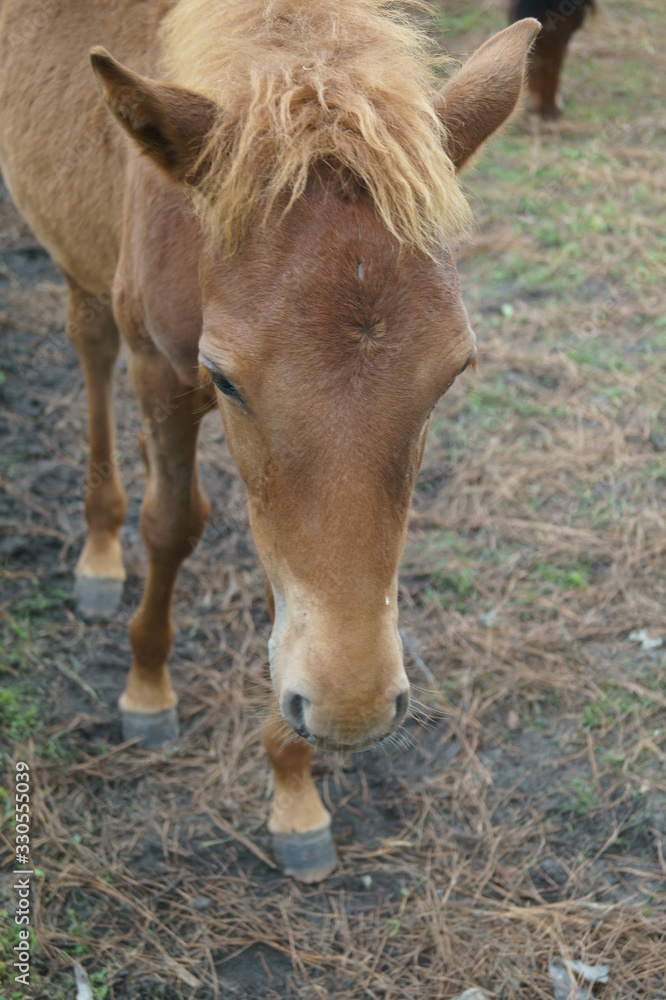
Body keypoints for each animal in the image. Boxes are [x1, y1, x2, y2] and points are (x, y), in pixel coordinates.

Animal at [0, 0, 538, 882]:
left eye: (454, 372)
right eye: (225, 378)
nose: (356, 711)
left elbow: (287, 582)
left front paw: (294, 788)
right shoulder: (163, 370)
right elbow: (172, 524)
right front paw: (146, 687)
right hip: (86, 278)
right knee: (90, 349)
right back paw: (100, 549)